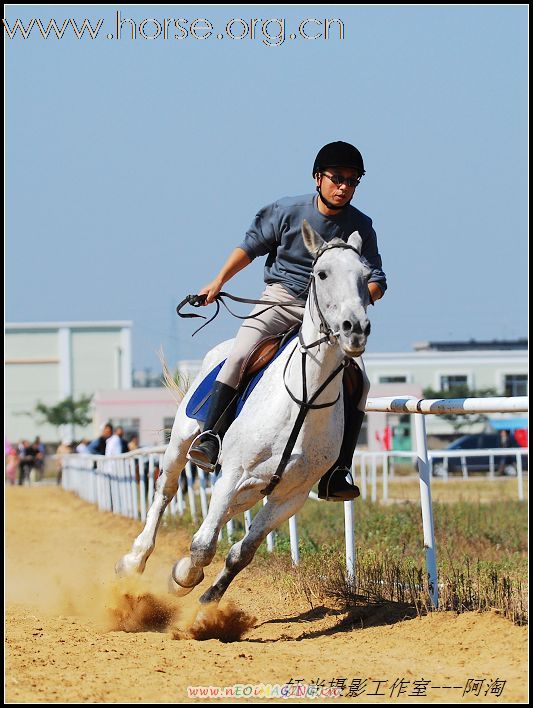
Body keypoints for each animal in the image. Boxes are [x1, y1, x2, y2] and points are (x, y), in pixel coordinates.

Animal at [116, 220, 370, 604]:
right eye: (323, 273)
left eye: (365, 276)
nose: (355, 329)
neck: (304, 400)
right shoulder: (233, 472)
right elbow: (203, 545)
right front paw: (182, 578)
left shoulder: (290, 496)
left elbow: (242, 551)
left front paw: (207, 599)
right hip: (183, 442)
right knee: (165, 492)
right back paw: (133, 561)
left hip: (254, 488)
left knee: (223, 516)